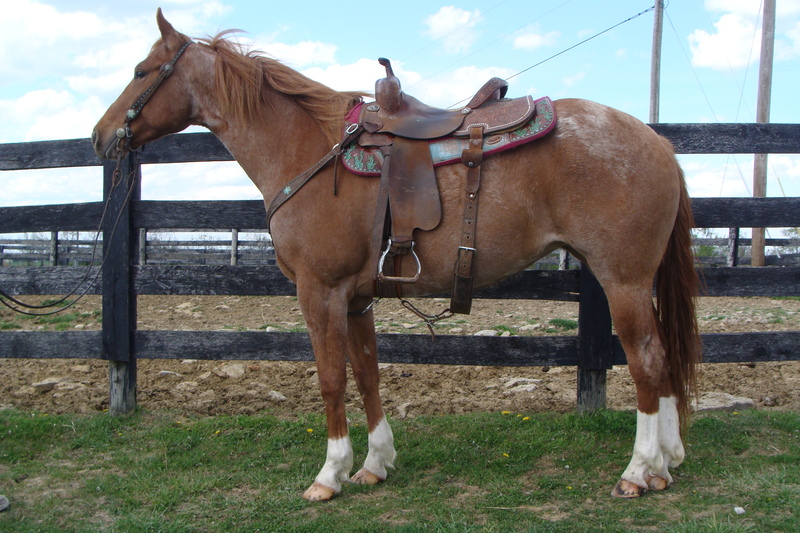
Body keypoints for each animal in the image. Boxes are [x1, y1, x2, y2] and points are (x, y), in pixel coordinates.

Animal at [93, 9, 701, 501]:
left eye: (142, 71)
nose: (100, 136)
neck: (309, 150)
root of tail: (658, 142)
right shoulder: (357, 298)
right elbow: (367, 374)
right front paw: (374, 464)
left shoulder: (320, 292)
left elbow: (330, 379)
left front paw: (329, 475)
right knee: (666, 355)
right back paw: (667, 461)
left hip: (622, 279)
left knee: (647, 360)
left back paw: (638, 470)